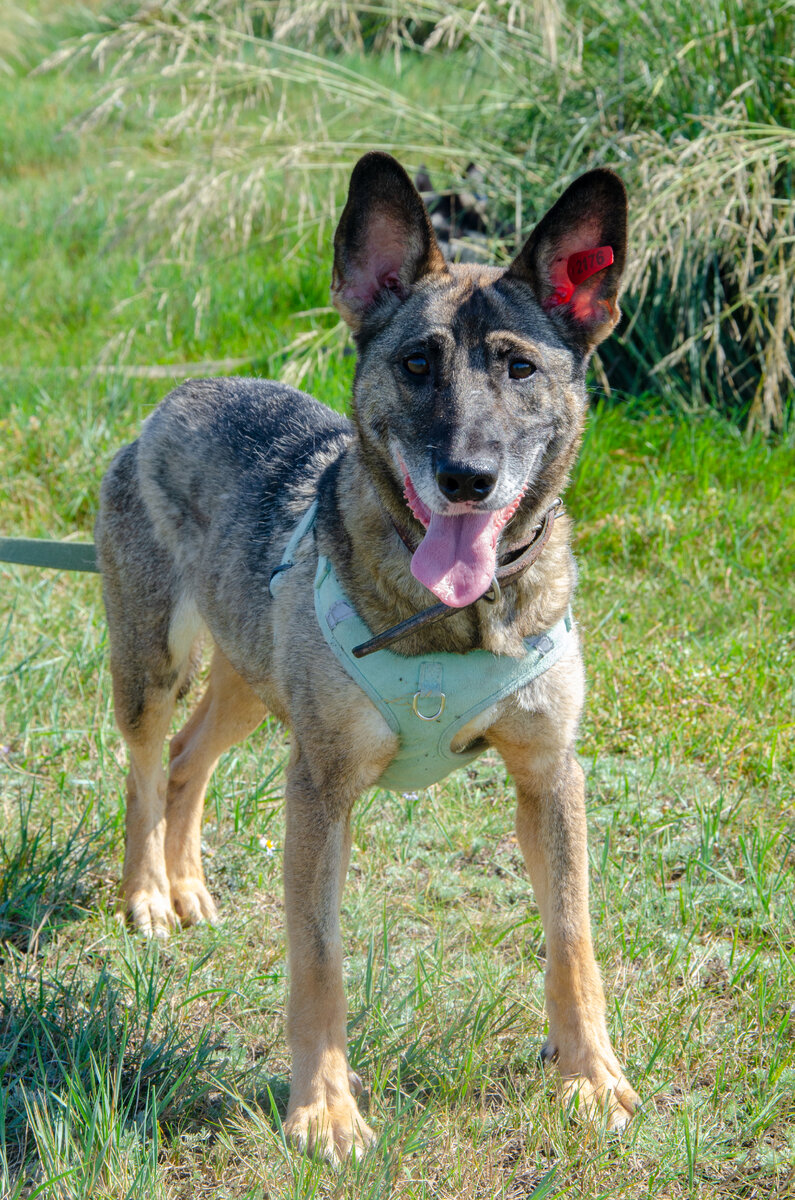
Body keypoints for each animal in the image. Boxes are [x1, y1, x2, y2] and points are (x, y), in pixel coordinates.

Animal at [94, 150, 643, 1161]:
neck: (456, 620)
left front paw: (590, 1078)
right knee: (147, 767)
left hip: (251, 676)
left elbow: (572, 941)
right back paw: (148, 894)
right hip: (153, 661)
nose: (466, 478)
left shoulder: (550, 776)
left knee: (189, 761)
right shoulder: (320, 785)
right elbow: (317, 956)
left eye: (519, 366)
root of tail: (177, 399)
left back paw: (186, 888)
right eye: (416, 363)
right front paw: (323, 1109)